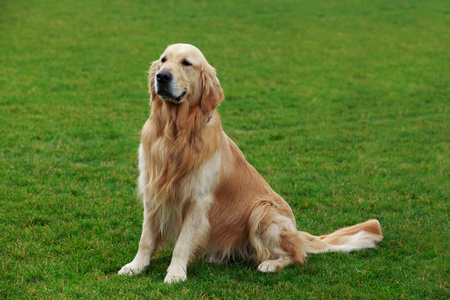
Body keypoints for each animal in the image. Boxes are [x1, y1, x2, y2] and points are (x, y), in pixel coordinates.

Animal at [117, 43, 384, 282]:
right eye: (163, 60)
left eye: (186, 63)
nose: (162, 76)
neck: (175, 134)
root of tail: (297, 232)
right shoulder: (153, 190)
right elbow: (146, 237)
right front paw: (136, 266)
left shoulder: (197, 199)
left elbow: (182, 242)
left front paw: (175, 273)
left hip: (262, 209)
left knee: (296, 255)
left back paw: (270, 264)